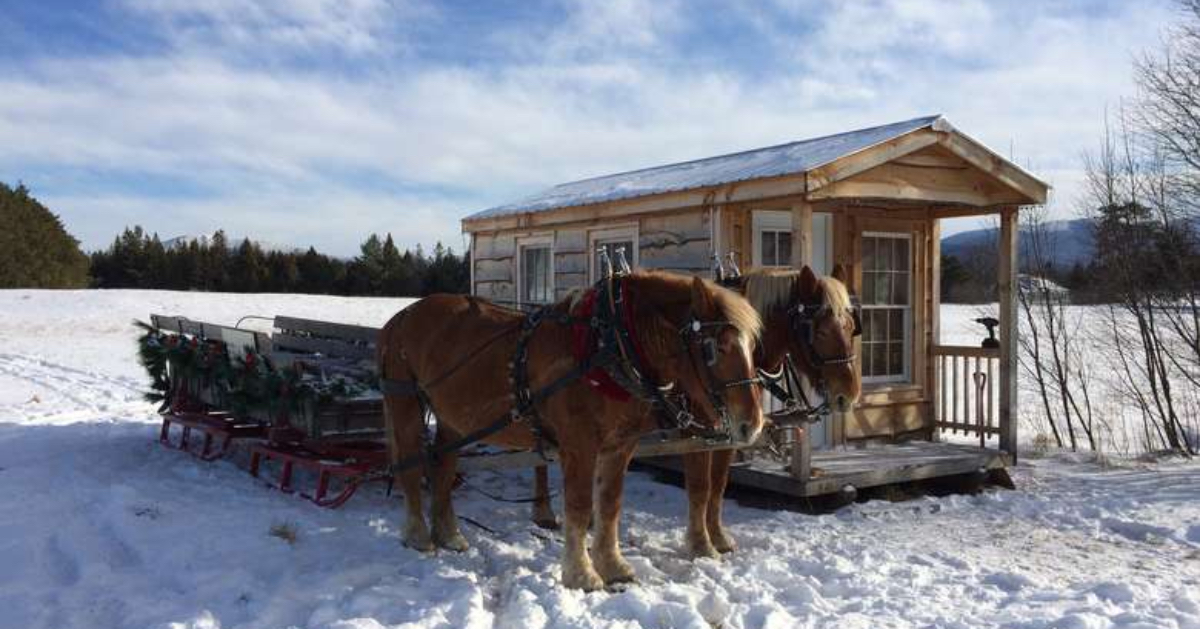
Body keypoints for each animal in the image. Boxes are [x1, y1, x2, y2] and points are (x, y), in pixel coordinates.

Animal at [379, 271, 763, 590]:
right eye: (716, 347)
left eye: (752, 347)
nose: (753, 424)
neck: (608, 346)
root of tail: (400, 317)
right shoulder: (579, 445)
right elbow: (579, 507)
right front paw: (581, 575)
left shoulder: (620, 445)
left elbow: (609, 504)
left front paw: (613, 567)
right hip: (405, 403)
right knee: (411, 466)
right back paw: (419, 536)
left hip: (454, 419)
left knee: (443, 467)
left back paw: (449, 535)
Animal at [532, 264, 864, 554]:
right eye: (819, 331)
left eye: (851, 328)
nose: (848, 395)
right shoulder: (697, 433)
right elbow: (700, 486)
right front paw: (700, 543)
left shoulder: (730, 433)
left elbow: (718, 485)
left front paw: (718, 537)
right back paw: (544, 512)